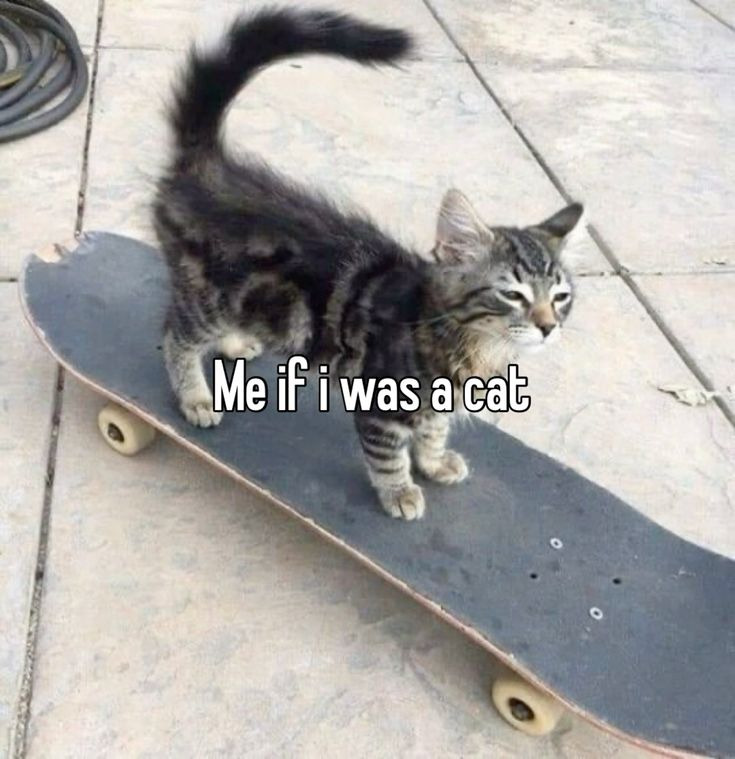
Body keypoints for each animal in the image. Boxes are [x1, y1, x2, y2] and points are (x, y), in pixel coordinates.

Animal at [153, 7, 583, 521]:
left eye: (561, 297)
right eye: (512, 294)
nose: (548, 326)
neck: (469, 345)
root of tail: (205, 167)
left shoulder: (433, 406)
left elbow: (434, 430)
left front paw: (434, 462)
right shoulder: (382, 404)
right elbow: (387, 454)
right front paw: (400, 492)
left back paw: (238, 342)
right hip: (207, 298)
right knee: (175, 335)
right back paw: (195, 395)